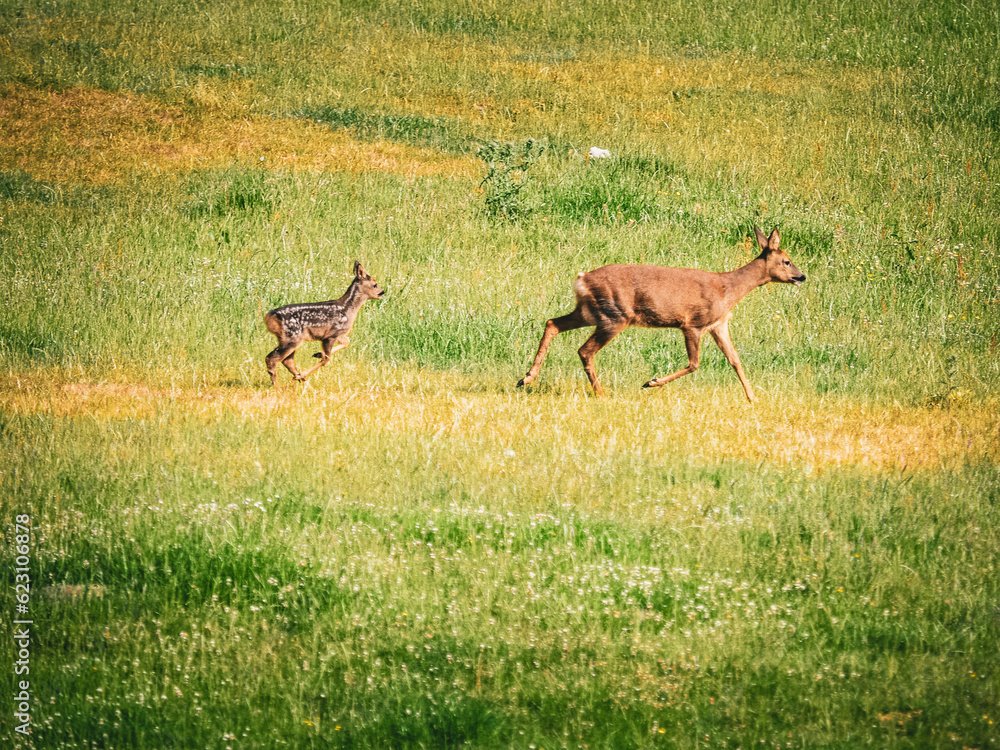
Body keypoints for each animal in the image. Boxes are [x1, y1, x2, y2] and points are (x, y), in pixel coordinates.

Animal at [517, 227, 805, 402]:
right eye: (787, 261)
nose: (801, 276)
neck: (728, 290)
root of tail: (582, 279)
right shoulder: (692, 323)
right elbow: (695, 363)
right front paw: (651, 382)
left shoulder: (718, 325)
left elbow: (735, 360)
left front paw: (752, 398)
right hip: (615, 315)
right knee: (585, 350)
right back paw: (601, 393)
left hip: (589, 312)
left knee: (552, 323)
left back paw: (526, 377)